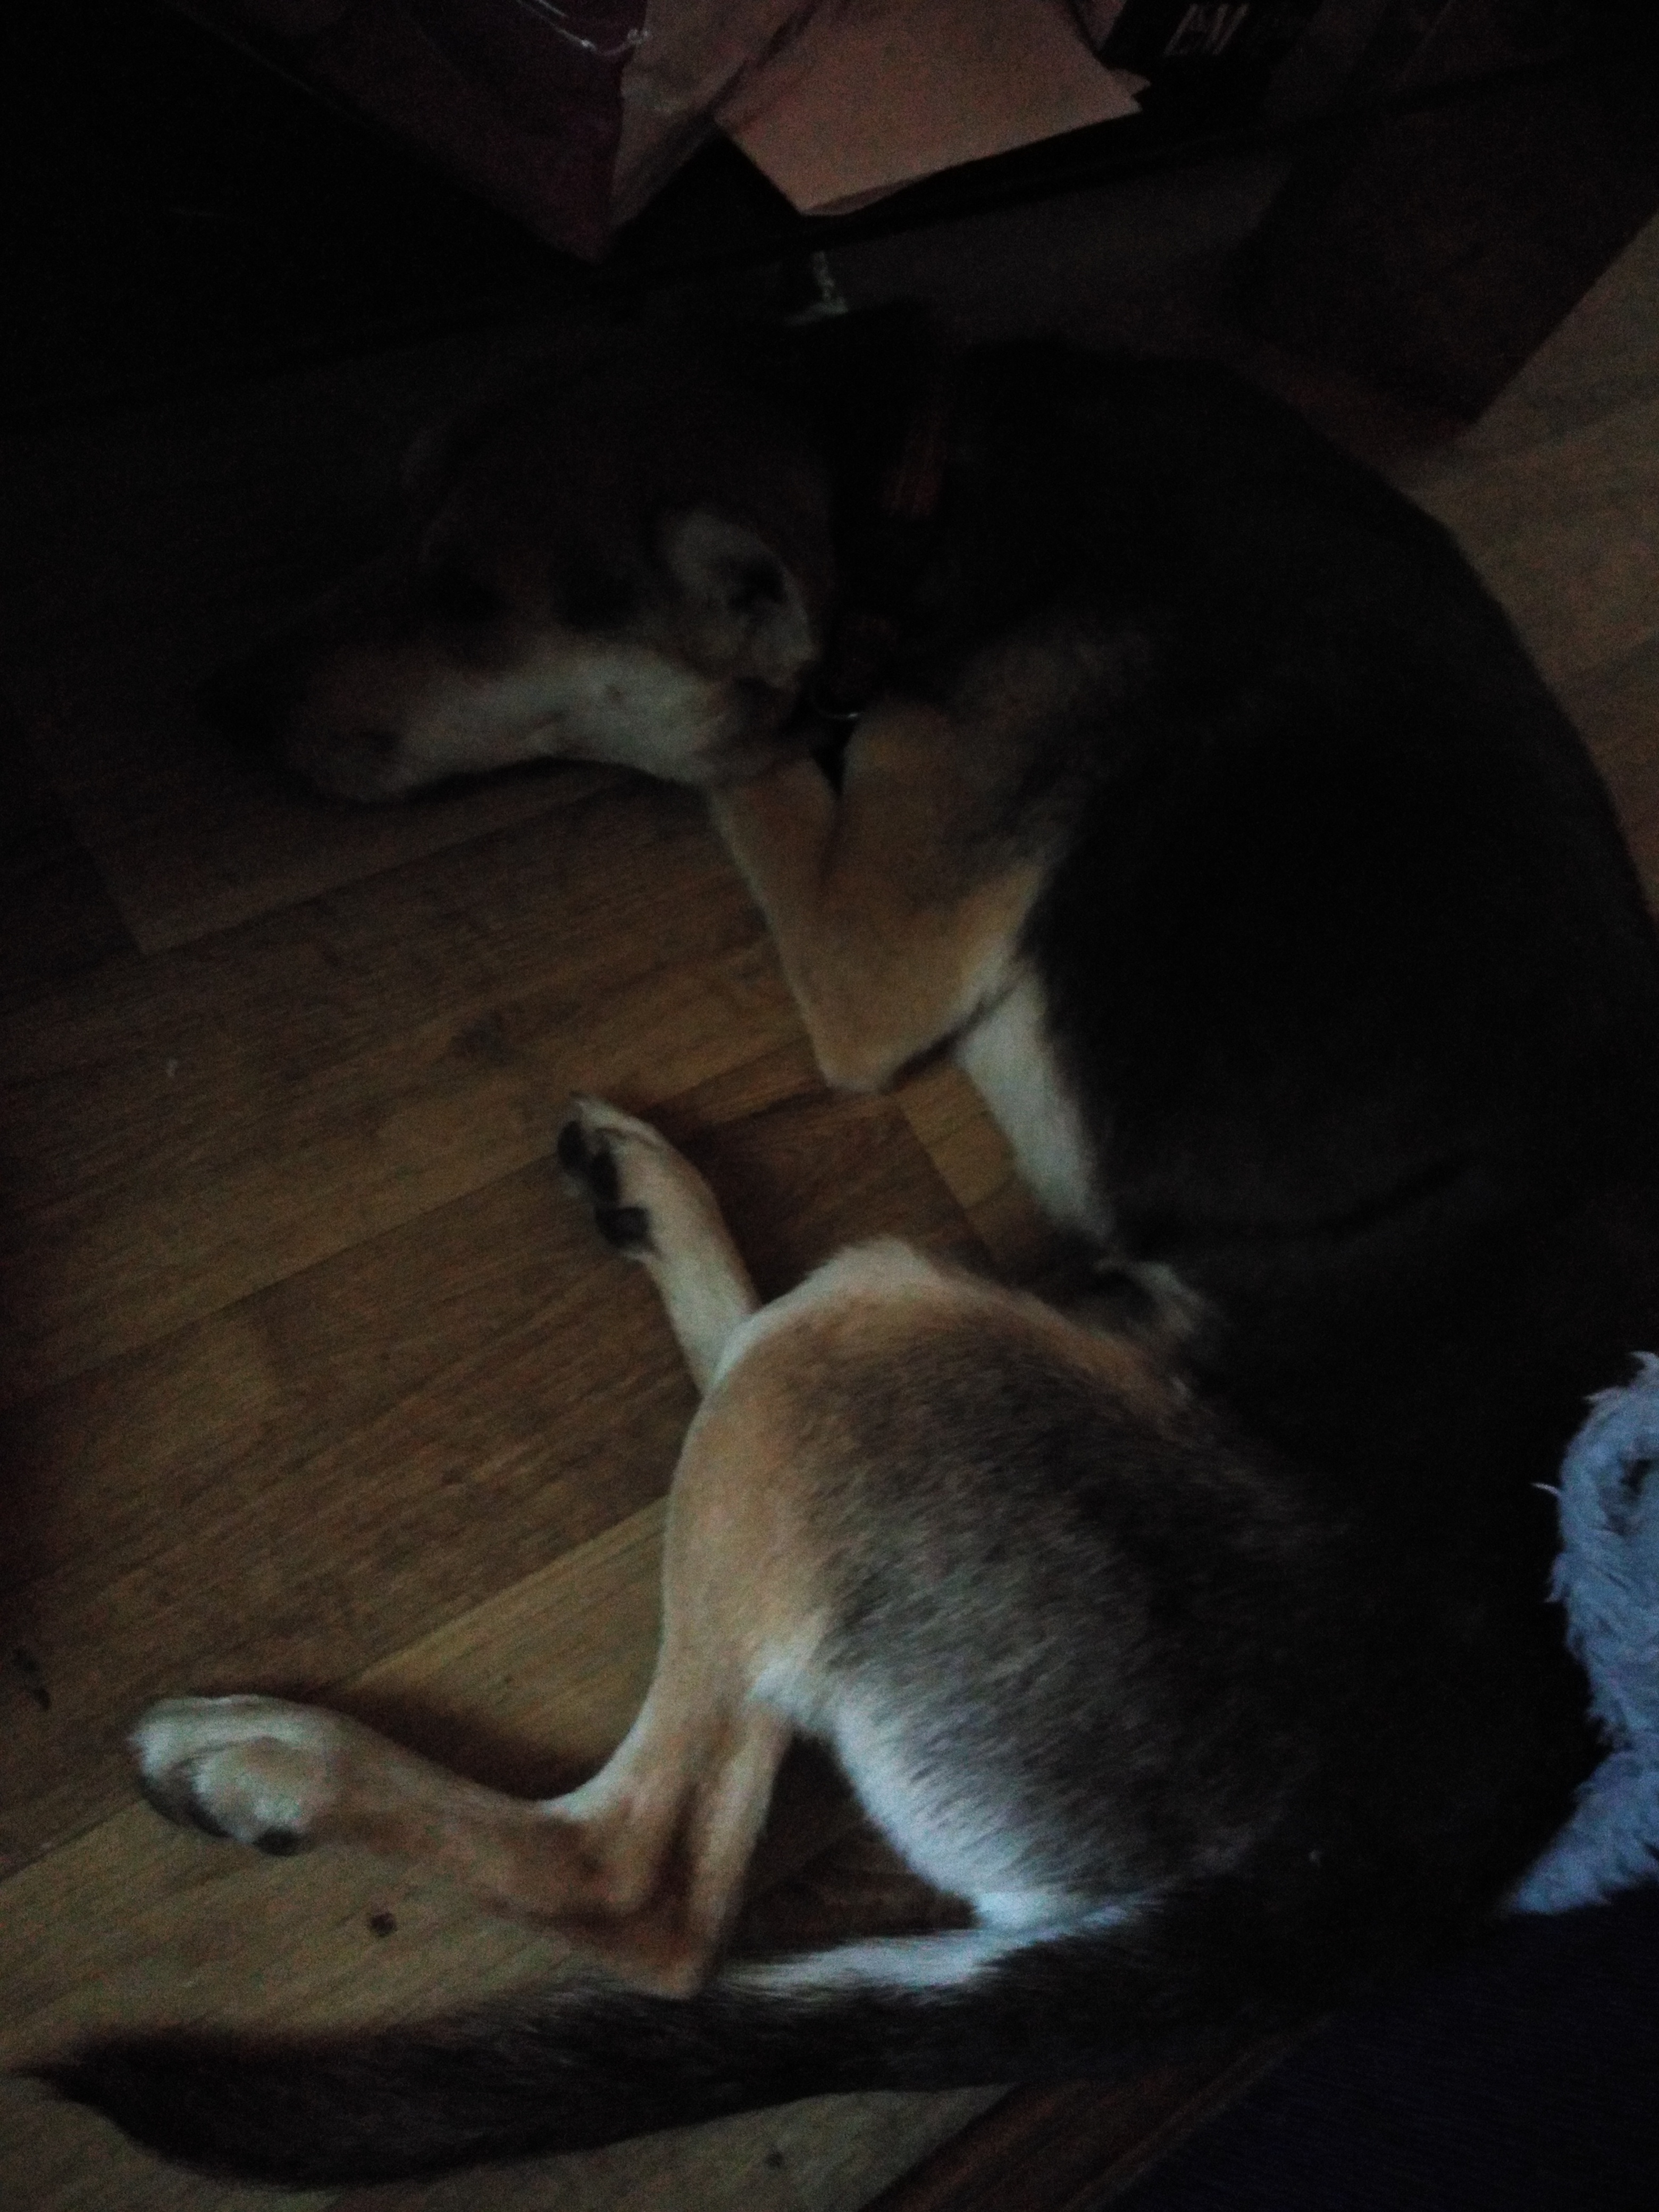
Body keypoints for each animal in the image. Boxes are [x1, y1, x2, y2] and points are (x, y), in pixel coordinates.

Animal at [52, 311, 1659, 2183]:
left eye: (471, 603)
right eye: (395, 523)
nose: (217, 705)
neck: (907, 462)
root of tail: (1408, 1867)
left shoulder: (870, 940)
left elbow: (731, 746)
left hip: (871, 1357)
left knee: (647, 1884)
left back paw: (271, 1766)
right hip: (946, 1324)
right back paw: (651, 1200)